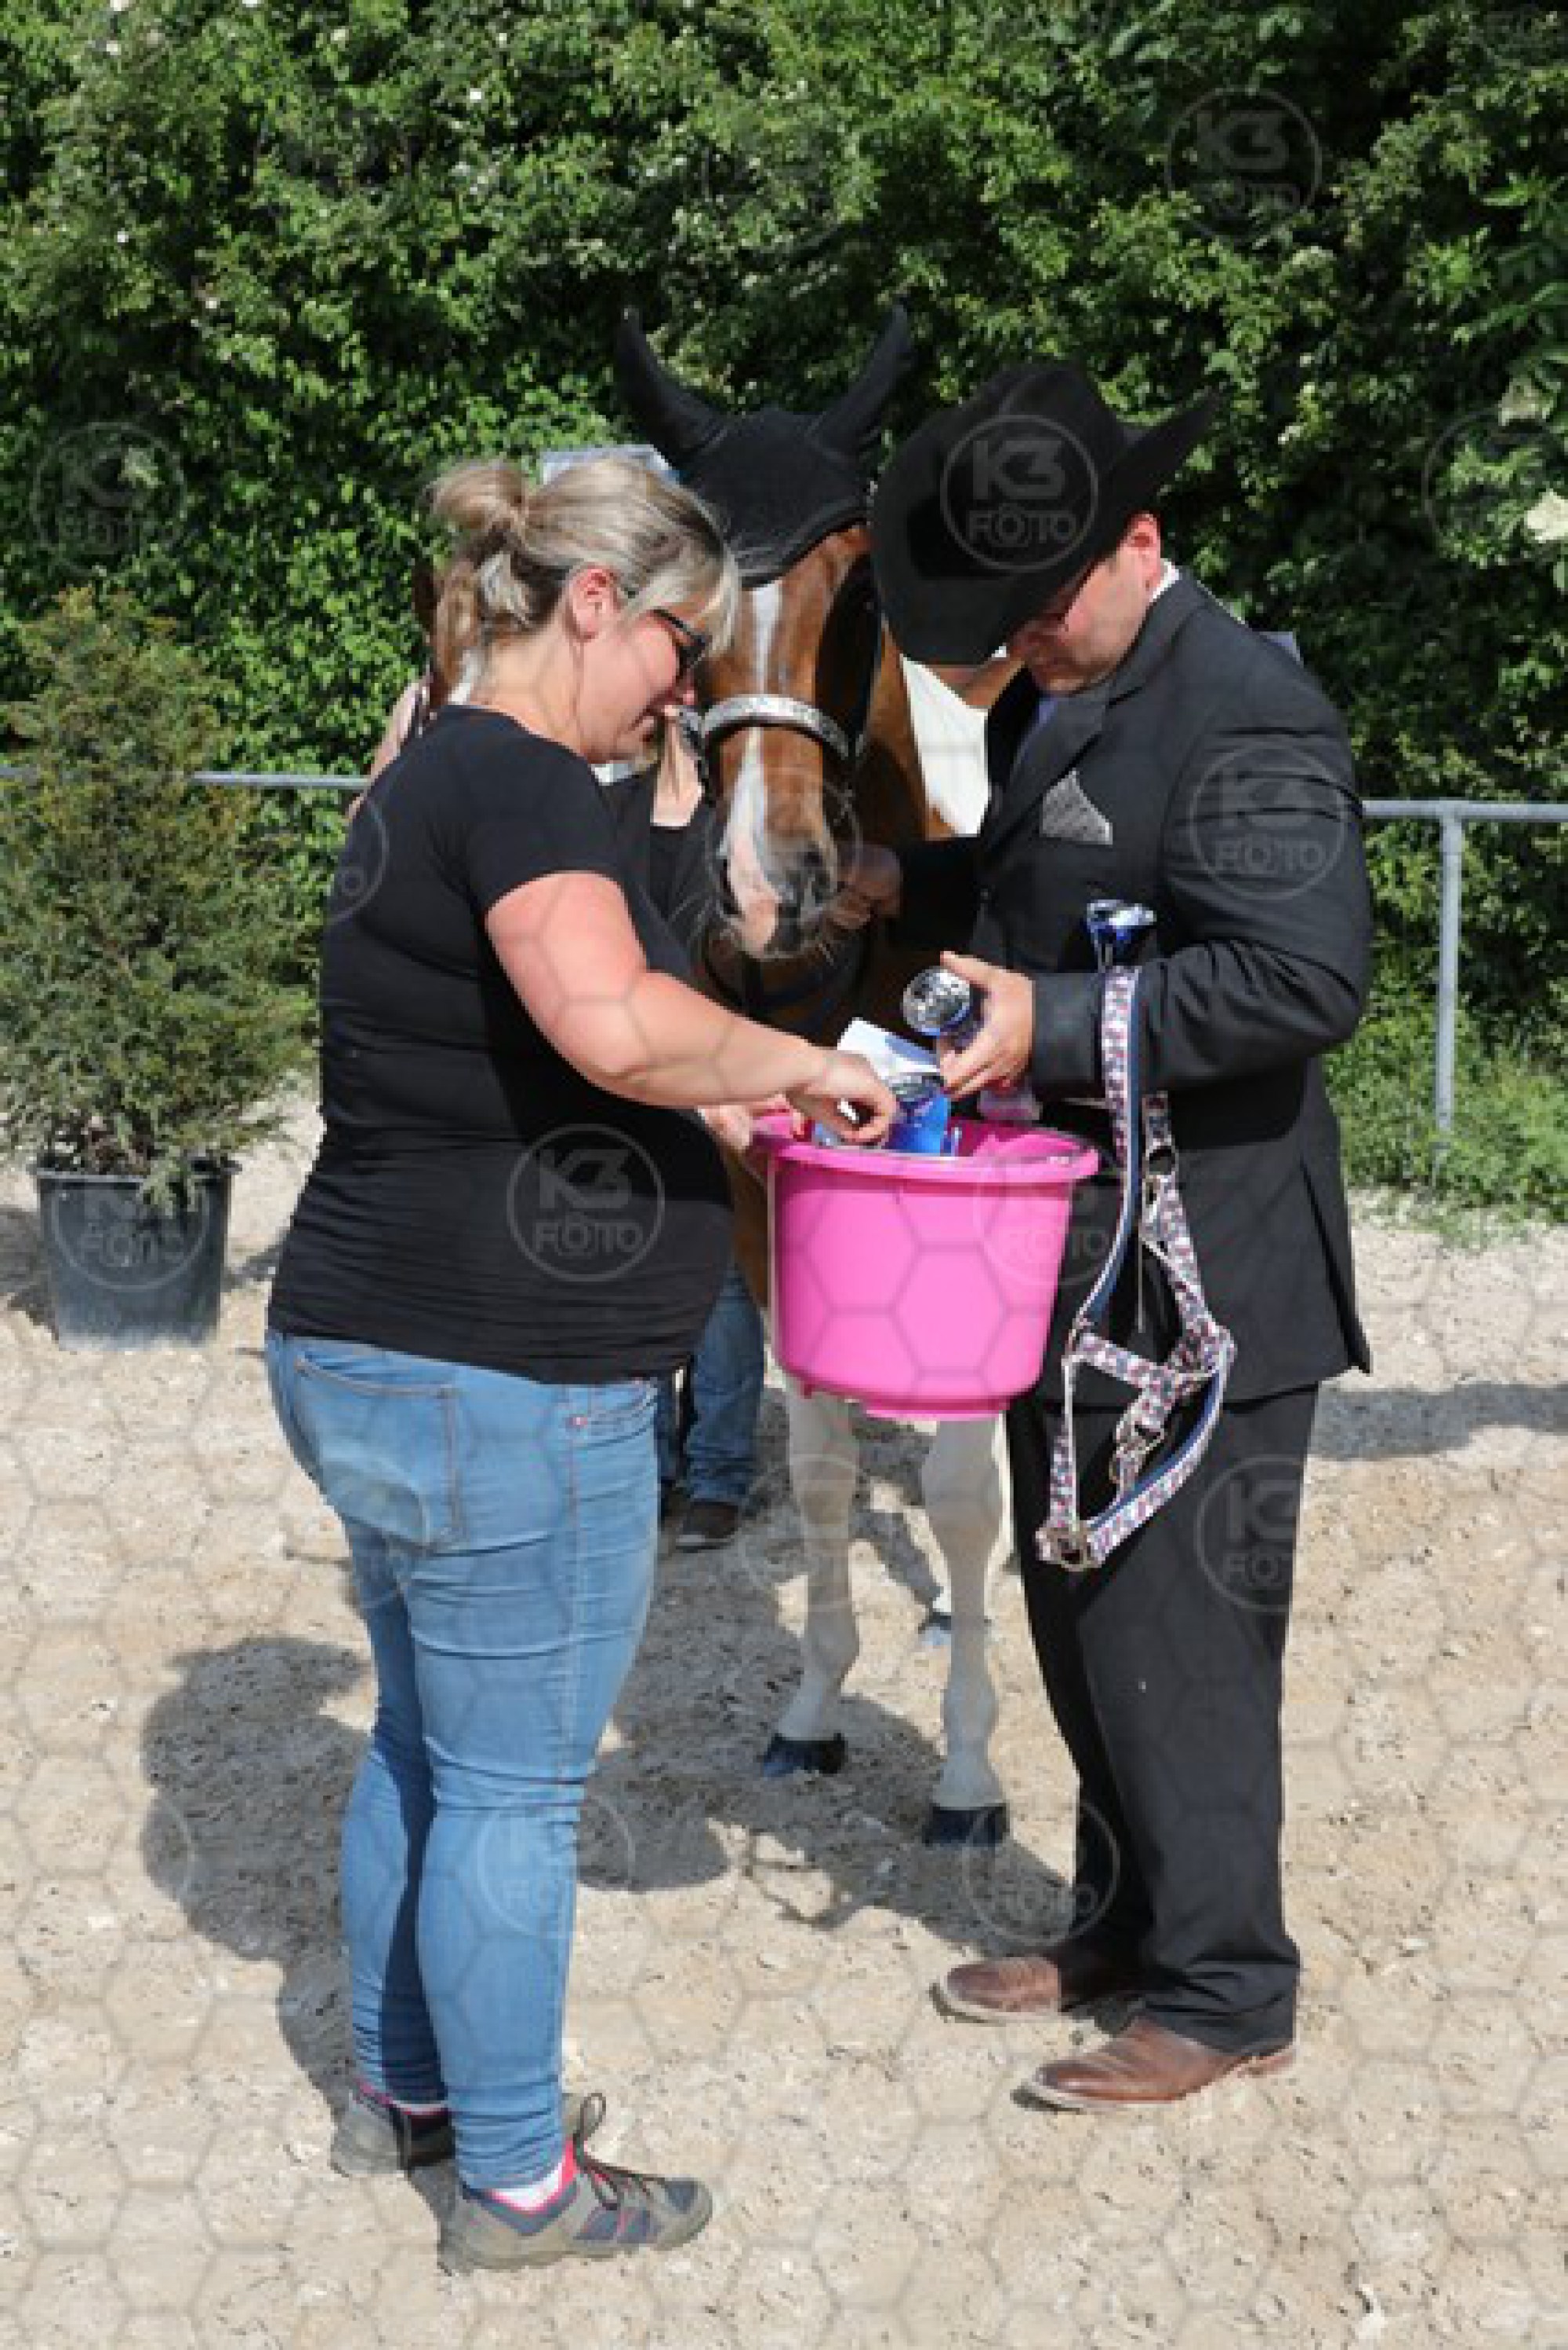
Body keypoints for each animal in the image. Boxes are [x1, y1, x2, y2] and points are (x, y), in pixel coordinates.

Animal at [615, 309, 1013, 1846]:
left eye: (859, 600)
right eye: (687, 611)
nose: (768, 882)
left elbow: (959, 1485)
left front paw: (966, 1771)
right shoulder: (774, 1201)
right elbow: (833, 1466)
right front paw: (814, 1712)